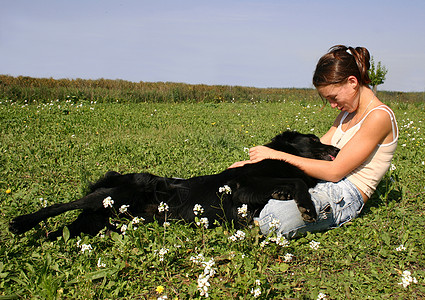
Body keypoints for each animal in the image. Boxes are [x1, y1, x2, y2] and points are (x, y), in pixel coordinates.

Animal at [9, 131, 338, 239]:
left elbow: (288, 182)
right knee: (59, 206)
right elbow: (296, 179)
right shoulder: (243, 184)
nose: (337, 150)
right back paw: (20, 224)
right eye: (313, 140)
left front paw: (284, 194)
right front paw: (307, 208)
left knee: (63, 231)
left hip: (104, 220)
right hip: (116, 194)